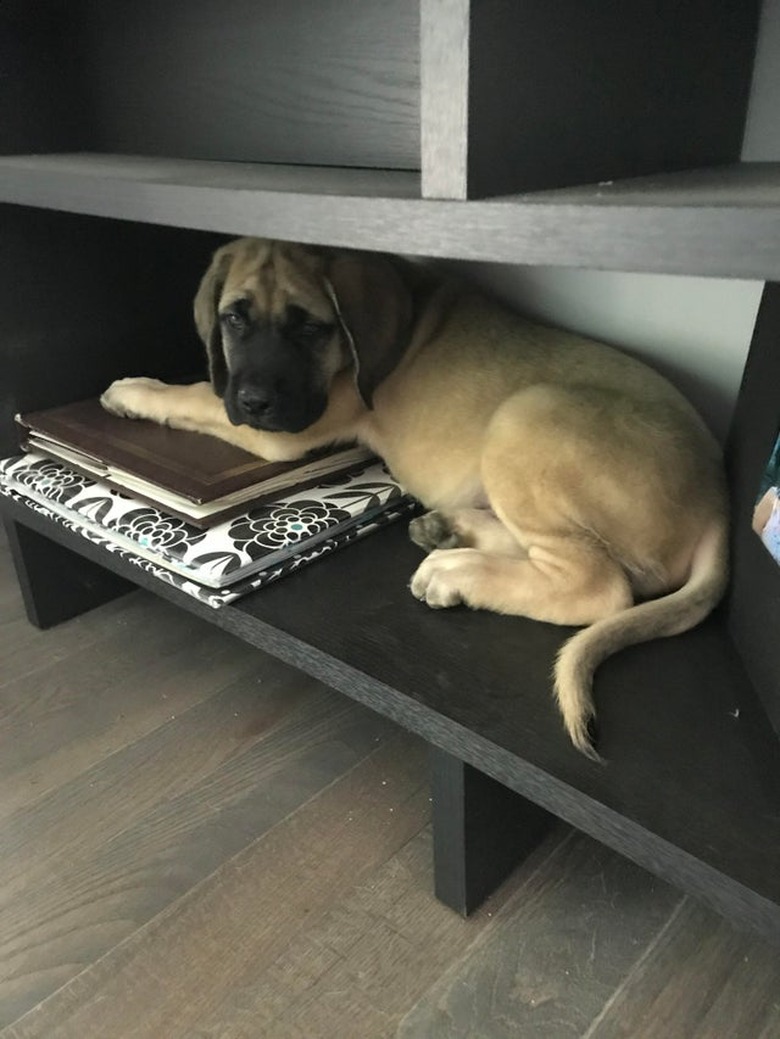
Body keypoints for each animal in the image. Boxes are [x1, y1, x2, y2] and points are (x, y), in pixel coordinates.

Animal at [100, 235, 731, 756]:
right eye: (234, 319)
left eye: (310, 328)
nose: (254, 401)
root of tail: (719, 500)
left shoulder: (289, 431)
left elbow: (196, 397)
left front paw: (136, 390)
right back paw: (451, 530)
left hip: (526, 415)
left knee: (598, 585)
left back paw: (457, 572)